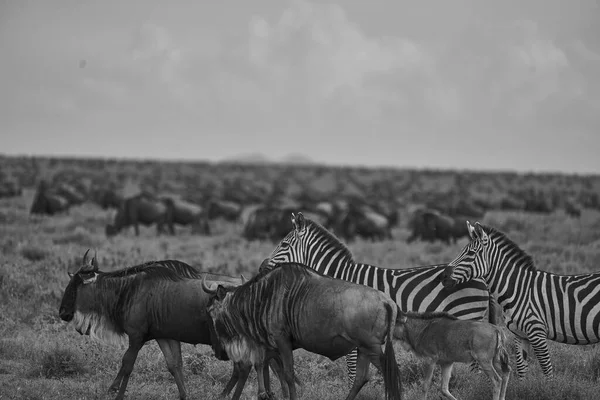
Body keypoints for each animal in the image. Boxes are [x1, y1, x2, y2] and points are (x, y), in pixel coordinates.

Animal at [268, 212, 492, 388]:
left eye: (284, 244)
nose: (263, 266)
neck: (340, 277)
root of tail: (481, 278)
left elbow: (353, 370)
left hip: (467, 317)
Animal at [438, 220, 600, 380]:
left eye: (471, 253)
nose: (443, 277)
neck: (520, 289)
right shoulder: (520, 336)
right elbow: (521, 369)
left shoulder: (537, 332)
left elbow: (547, 371)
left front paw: (551, 386)